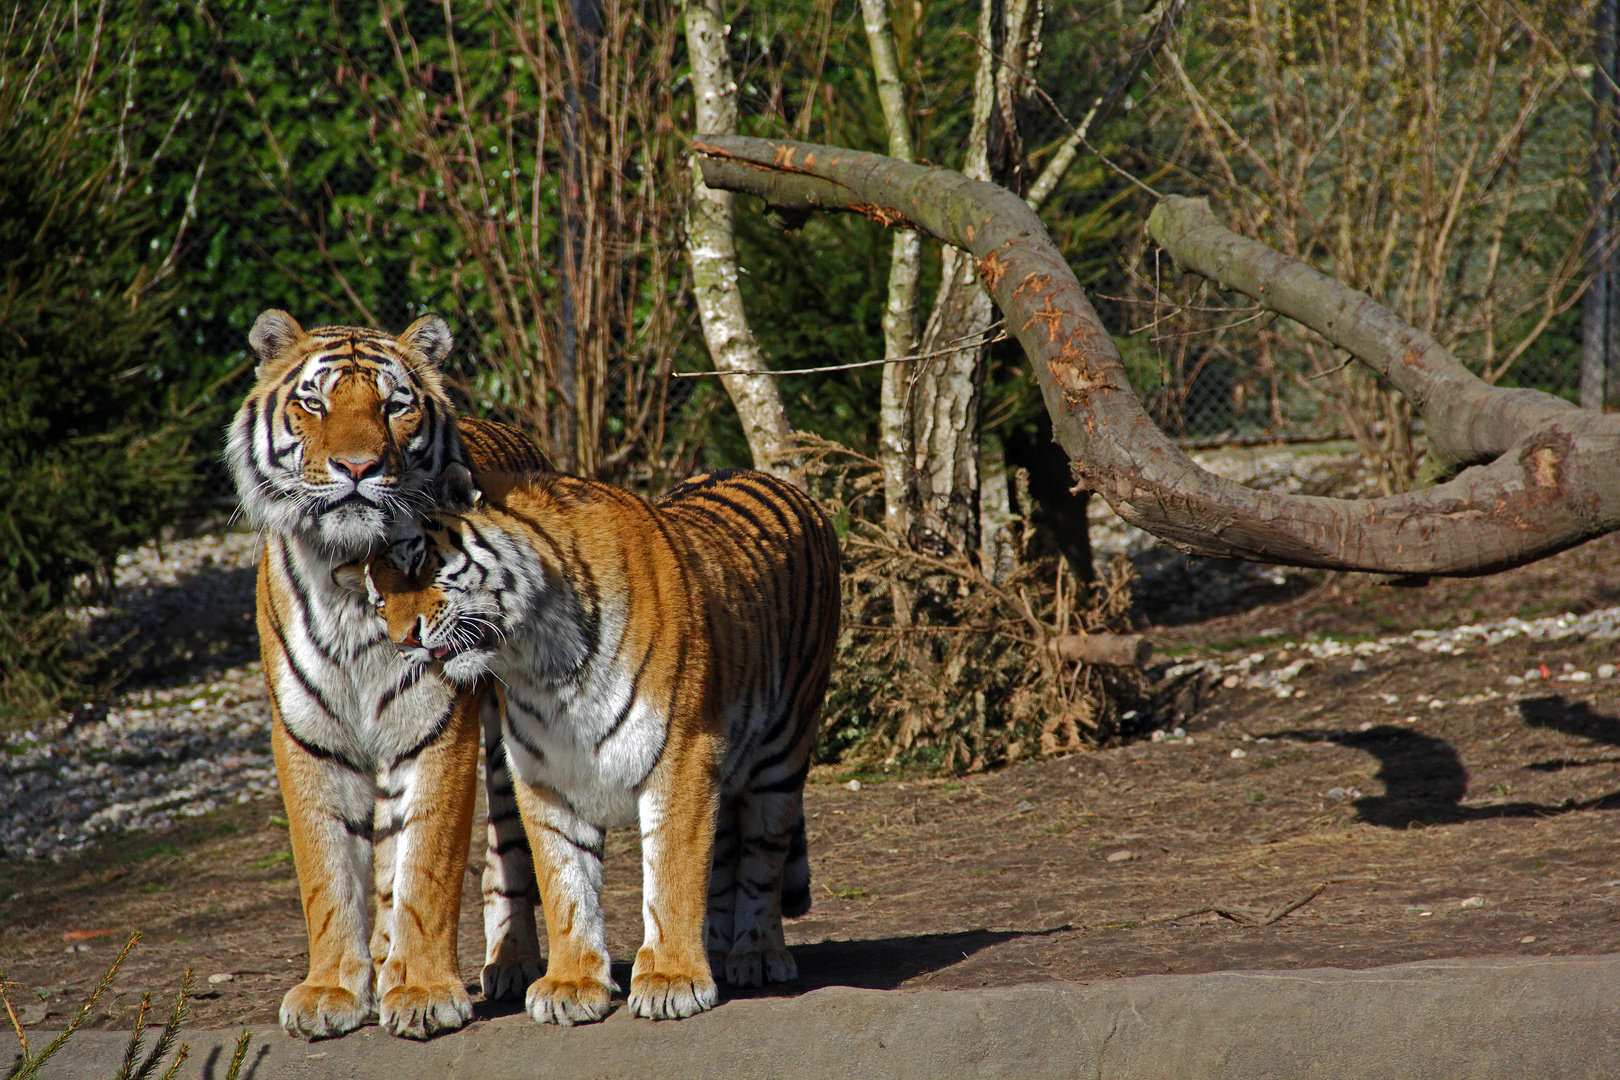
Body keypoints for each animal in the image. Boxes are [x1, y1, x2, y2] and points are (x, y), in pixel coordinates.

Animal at [223, 307, 550, 1042]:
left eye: (394, 406)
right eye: (314, 403)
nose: (356, 467)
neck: (350, 576)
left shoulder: (437, 725)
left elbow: (426, 864)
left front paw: (425, 990)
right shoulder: (308, 735)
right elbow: (329, 872)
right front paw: (330, 991)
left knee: (508, 853)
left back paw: (509, 962)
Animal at [346, 469, 842, 1029]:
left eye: (420, 561)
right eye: (379, 601)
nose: (401, 642)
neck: (537, 659)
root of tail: (784, 483)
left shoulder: (683, 758)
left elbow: (672, 874)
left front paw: (671, 979)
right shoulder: (545, 775)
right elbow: (565, 882)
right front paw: (572, 984)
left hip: (782, 756)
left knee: (763, 862)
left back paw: (756, 954)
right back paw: (715, 949)